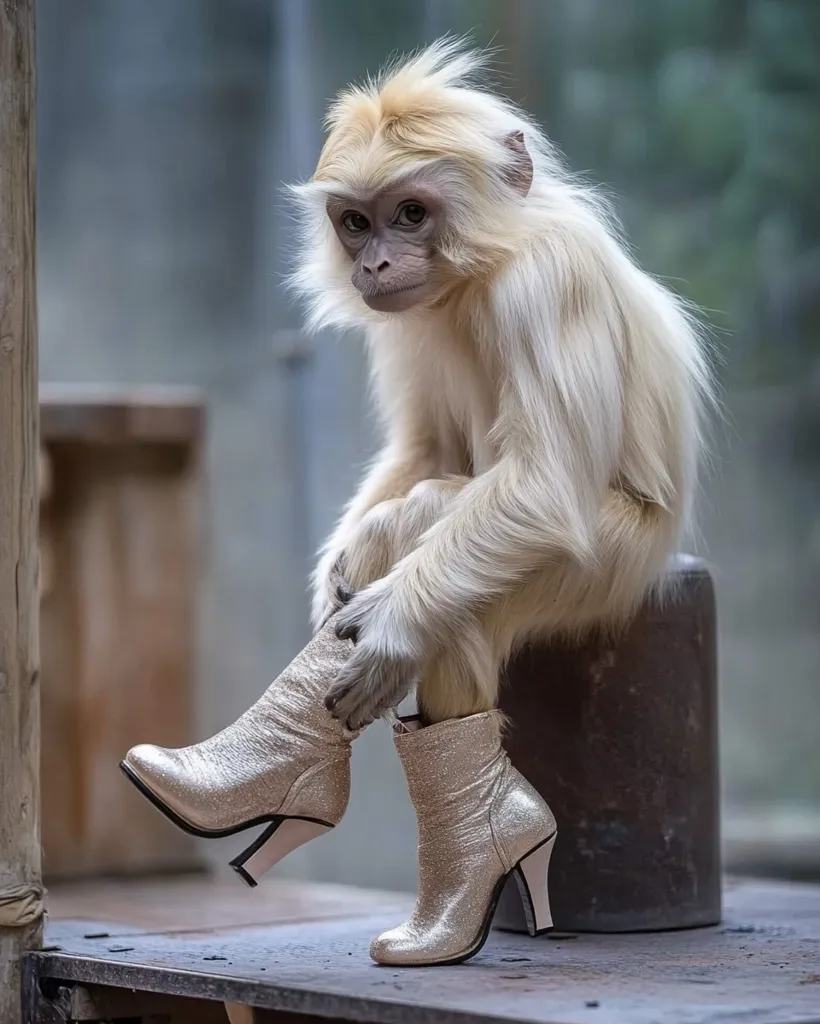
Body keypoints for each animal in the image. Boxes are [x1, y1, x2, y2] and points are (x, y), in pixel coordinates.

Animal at [289, 39, 714, 732]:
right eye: (355, 222)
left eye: (411, 213)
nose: (375, 264)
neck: (480, 272)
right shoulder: (405, 318)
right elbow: (426, 447)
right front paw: (332, 573)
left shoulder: (546, 281)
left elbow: (547, 485)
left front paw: (393, 626)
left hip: (605, 569)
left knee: (430, 512)